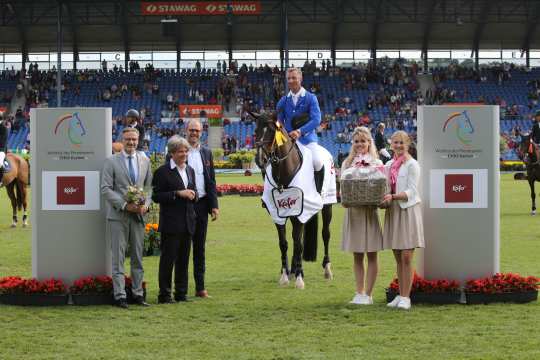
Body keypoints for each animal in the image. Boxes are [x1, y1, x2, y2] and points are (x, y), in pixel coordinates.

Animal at [252, 112, 336, 290]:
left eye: (271, 131)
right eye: (255, 130)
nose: (260, 160)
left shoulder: (300, 213)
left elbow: (298, 244)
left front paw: (299, 279)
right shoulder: (279, 213)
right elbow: (284, 243)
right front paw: (285, 275)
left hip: (327, 206)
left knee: (325, 234)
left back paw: (327, 269)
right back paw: (293, 269)